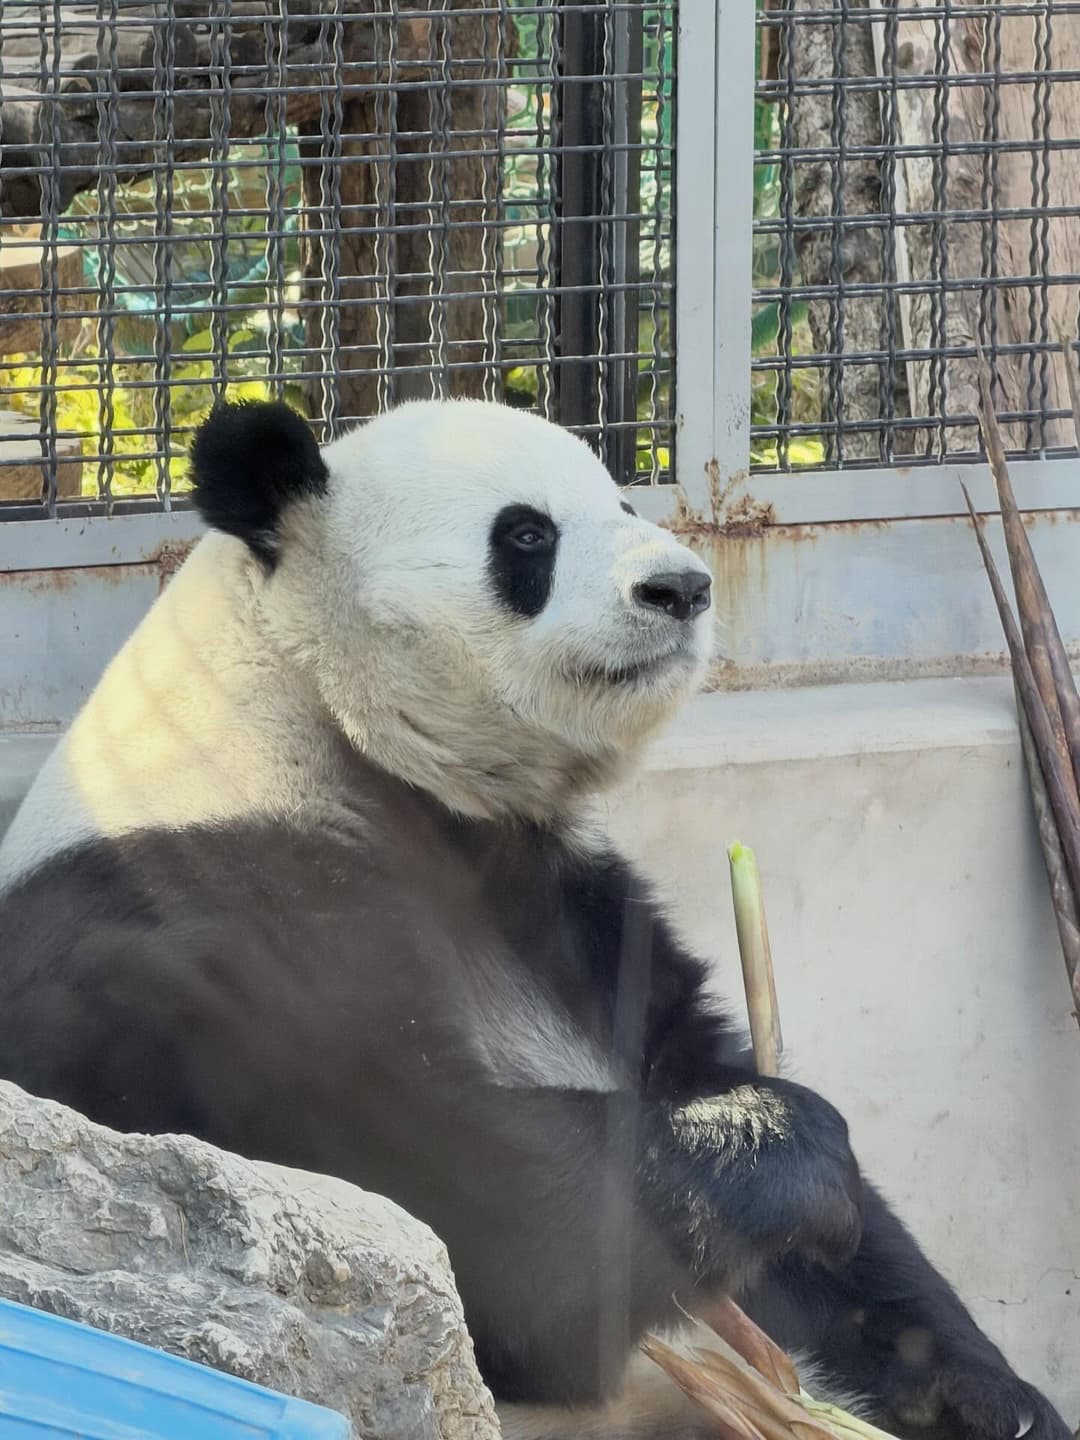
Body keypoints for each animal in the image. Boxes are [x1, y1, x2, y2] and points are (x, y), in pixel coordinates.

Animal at [0, 398, 1067, 1440]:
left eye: (627, 506)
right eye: (527, 535)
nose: (682, 588)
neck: (318, 714)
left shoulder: (563, 907)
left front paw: (989, 1398)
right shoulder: (211, 908)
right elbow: (470, 1204)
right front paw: (791, 1143)